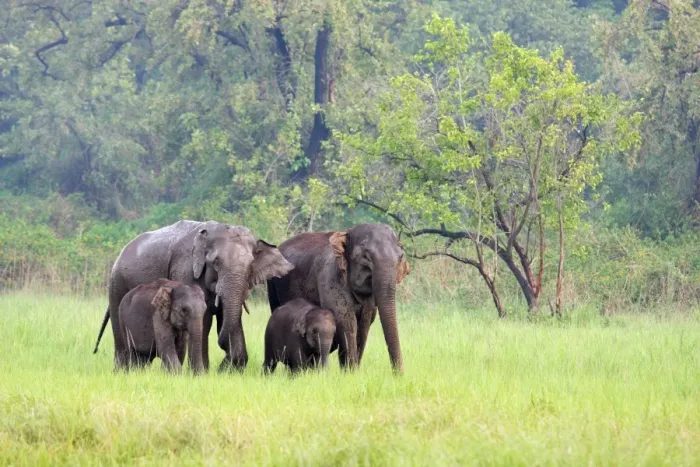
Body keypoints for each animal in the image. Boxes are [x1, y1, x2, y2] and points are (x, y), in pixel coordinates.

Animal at [92, 220, 293, 371]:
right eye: (216, 262)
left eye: (251, 265)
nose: (223, 347)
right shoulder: (185, 270)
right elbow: (204, 320)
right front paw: (204, 372)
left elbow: (229, 316)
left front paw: (225, 371)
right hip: (116, 285)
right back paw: (121, 371)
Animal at [267, 223, 410, 372]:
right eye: (365, 256)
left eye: (400, 257)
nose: (399, 374)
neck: (347, 233)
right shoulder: (330, 277)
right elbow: (346, 321)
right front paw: (351, 373)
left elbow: (364, 324)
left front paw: (353, 371)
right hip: (272, 284)